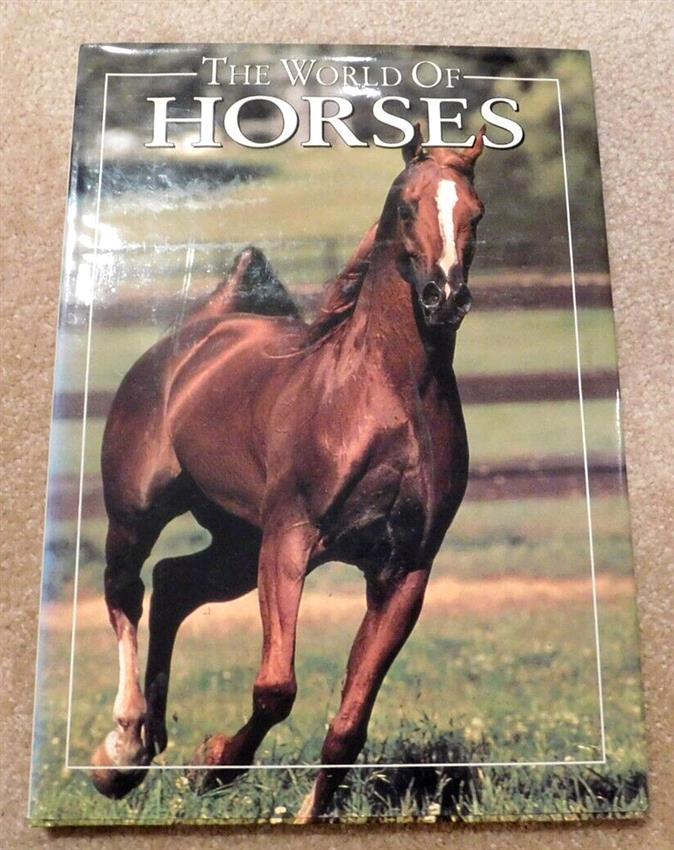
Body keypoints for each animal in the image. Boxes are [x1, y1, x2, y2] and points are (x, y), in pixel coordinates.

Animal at [90, 125, 486, 821]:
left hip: (234, 543)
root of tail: (198, 333)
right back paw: (121, 753)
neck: (386, 399)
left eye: (477, 213)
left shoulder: (405, 568)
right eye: (405, 206)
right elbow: (276, 687)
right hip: (137, 514)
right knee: (125, 594)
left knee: (174, 584)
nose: (445, 297)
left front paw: (306, 813)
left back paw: (151, 742)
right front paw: (213, 766)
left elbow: (349, 723)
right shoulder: (289, 540)